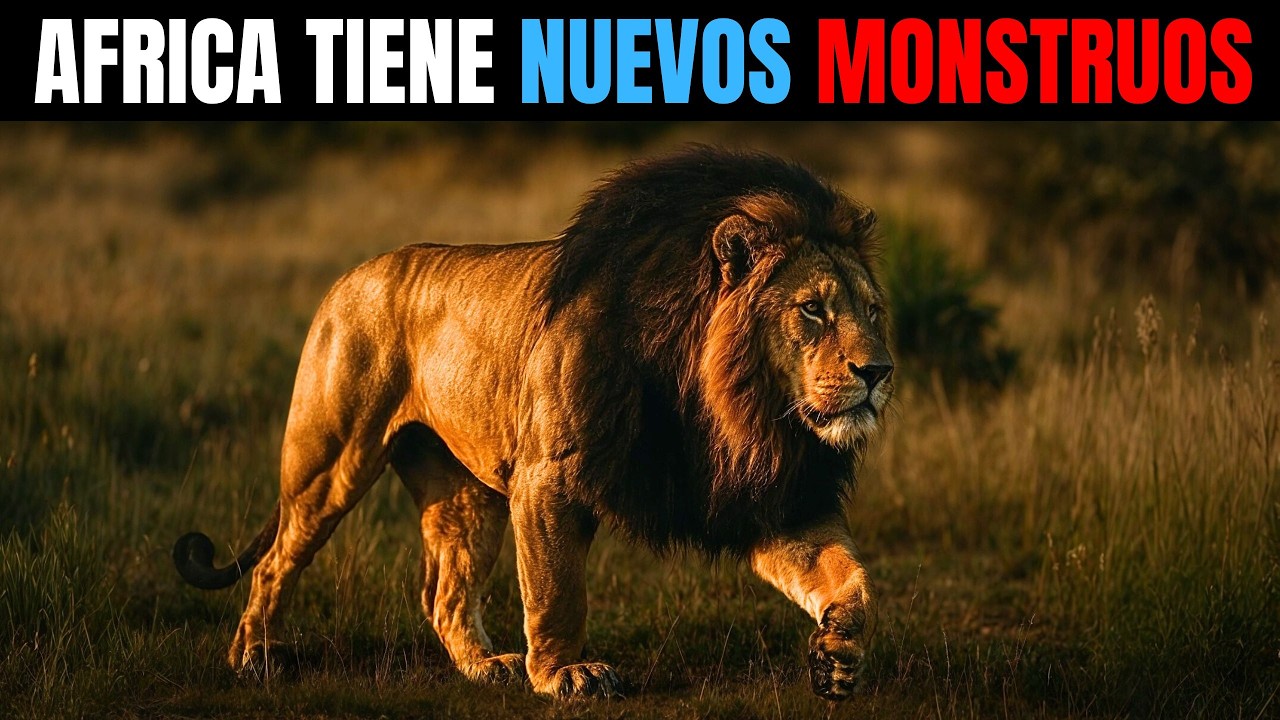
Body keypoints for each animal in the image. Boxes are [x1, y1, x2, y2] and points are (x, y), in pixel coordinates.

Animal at [173, 146, 893, 701]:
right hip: (331, 458)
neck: (735, 411)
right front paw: (565, 675)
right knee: (276, 561)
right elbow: (557, 588)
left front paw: (837, 659)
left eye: (873, 310)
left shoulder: (770, 497)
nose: (879, 370)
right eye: (811, 310)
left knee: (443, 592)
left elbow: (853, 584)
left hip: (463, 493)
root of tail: (349, 275)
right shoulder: (551, 476)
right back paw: (255, 657)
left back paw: (483, 668)